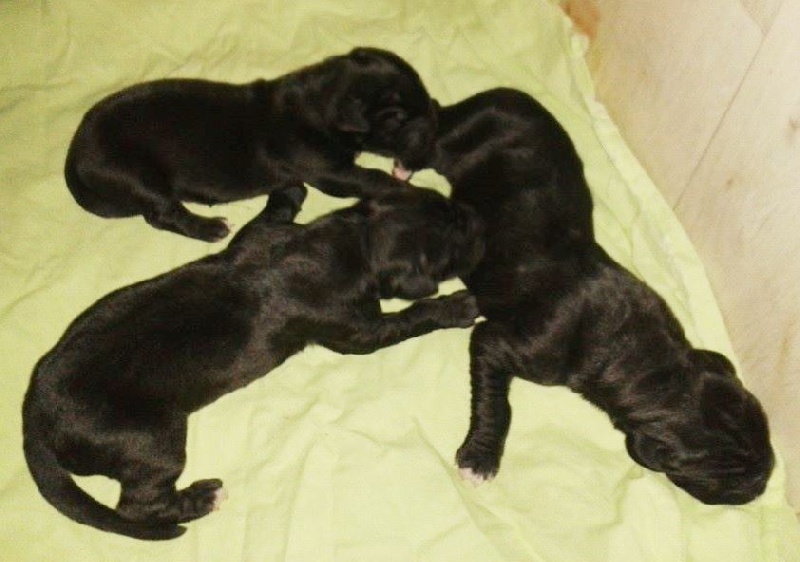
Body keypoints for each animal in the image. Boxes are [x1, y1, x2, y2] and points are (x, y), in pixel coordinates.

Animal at [22, 186, 485, 540]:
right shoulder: (356, 332)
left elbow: (264, 219)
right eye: (455, 244)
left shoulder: (261, 235)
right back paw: (202, 497)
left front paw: (289, 191)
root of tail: (35, 418)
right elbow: (408, 318)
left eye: (442, 202)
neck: (355, 243)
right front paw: (457, 306)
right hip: (153, 441)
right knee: (138, 505)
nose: (473, 215)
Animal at [64, 47, 437, 241]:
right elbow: (371, 178)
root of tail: (75, 155)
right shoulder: (332, 173)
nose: (436, 110)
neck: (318, 103)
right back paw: (211, 228)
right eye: (398, 118)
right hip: (136, 175)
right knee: (161, 213)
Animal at [395, 88, 774, 505]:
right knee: (432, 132)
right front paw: (480, 460)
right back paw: (404, 164)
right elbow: (497, 403)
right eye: (730, 480)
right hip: (457, 140)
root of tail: (501, 93)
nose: (764, 481)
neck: (651, 359)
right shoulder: (499, 341)